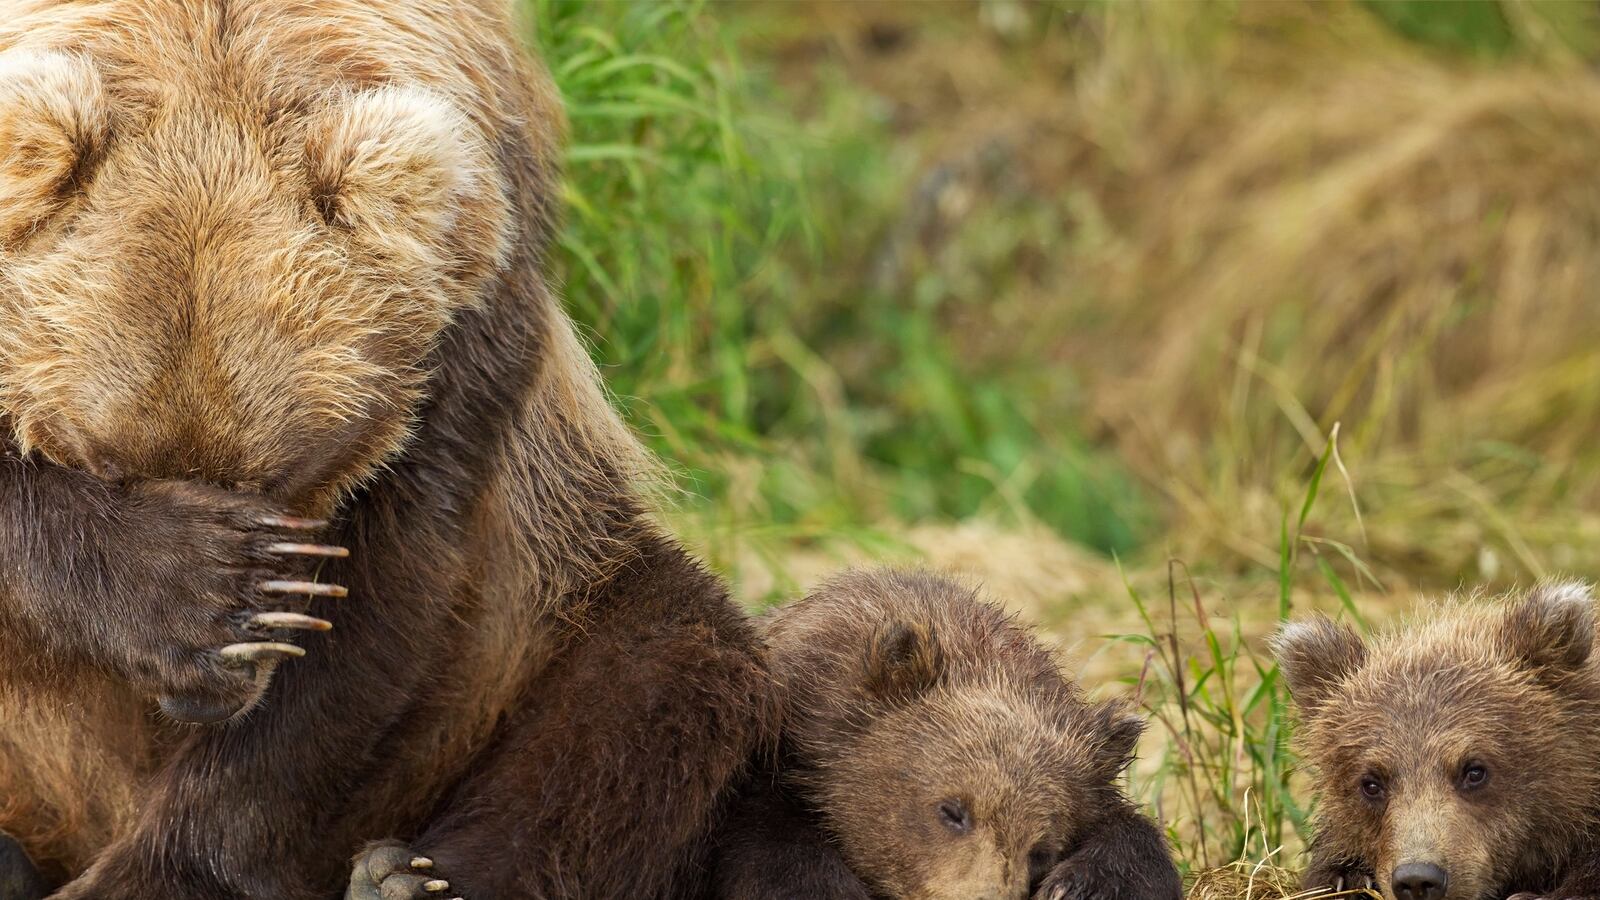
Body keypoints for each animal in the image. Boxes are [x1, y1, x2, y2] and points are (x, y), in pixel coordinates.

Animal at [0, 2, 773, 898]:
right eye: (105, 463)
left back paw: (410, 877)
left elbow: (384, 599)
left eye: (284, 473)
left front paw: (163, 871)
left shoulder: (466, 324)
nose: (207, 694)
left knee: (658, 674)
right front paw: (197, 584)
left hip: (551, 610)